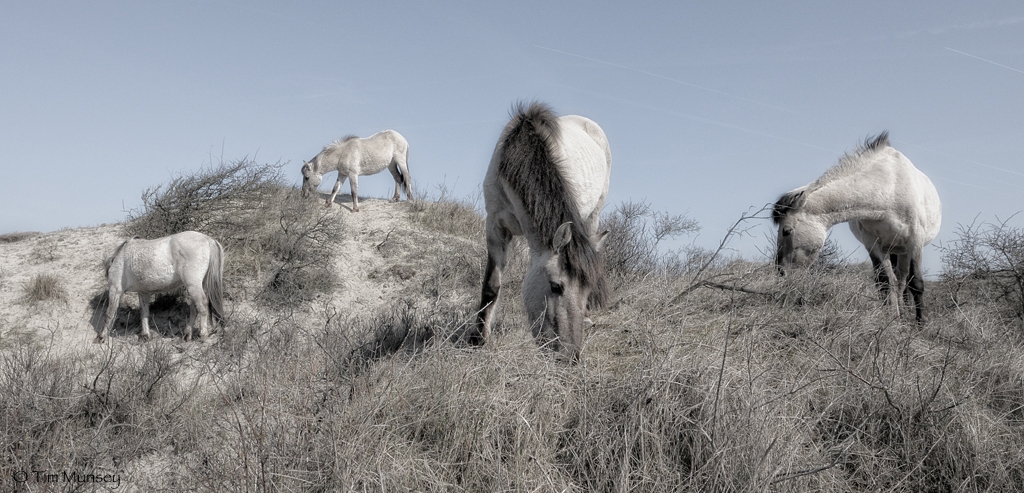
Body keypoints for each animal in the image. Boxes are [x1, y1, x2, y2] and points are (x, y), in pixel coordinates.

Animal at [96, 230, 226, 342]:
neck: (120, 257)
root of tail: (208, 239)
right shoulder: (143, 292)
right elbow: (144, 313)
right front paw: (145, 335)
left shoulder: (115, 289)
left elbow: (109, 313)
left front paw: (101, 336)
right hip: (197, 285)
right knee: (194, 307)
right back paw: (187, 335)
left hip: (193, 285)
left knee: (202, 305)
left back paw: (202, 334)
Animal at [468, 100, 606, 360]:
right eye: (556, 286)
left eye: (587, 290)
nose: (570, 356)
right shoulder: (495, 225)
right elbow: (491, 286)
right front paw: (477, 340)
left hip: (594, 215)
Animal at [770, 131, 937, 323]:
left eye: (787, 231)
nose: (781, 271)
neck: (889, 187)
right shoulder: (873, 244)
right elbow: (885, 283)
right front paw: (890, 320)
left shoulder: (915, 241)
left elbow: (916, 284)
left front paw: (920, 324)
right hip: (895, 250)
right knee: (898, 281)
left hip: (903, 250)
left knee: (904, 281)